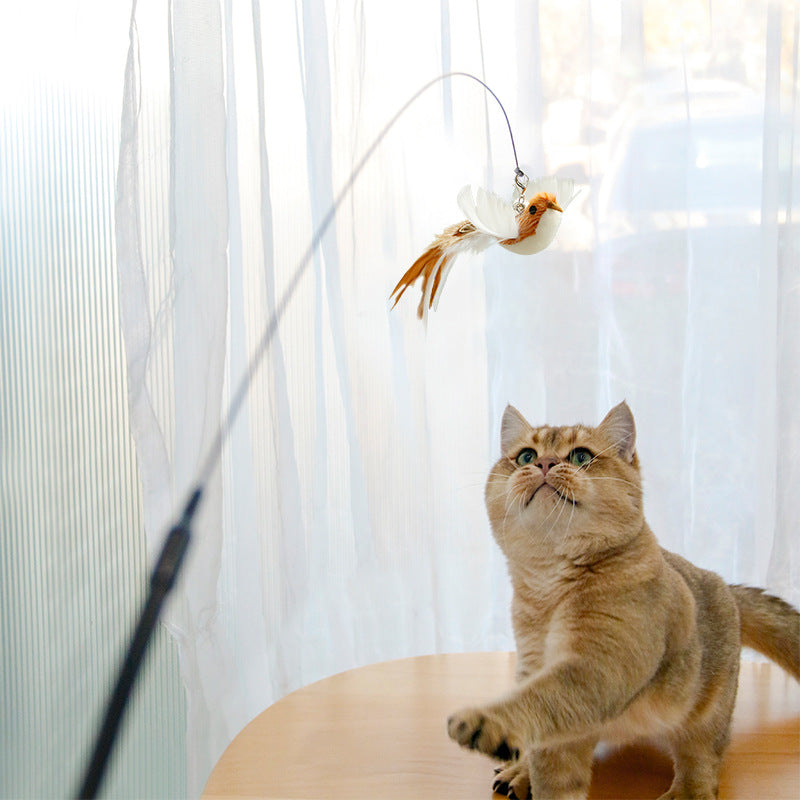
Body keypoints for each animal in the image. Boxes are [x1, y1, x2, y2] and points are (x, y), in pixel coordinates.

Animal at [446, 404, 796, 796]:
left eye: (580, 456)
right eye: (525, 456)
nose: (545, 463)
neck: (551, 585)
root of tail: (726, 586)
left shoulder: (599, 667)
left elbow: (543, 700)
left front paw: (487, 721)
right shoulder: (534, 664)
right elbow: (550, 752)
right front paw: (529, 770)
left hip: (709, 709)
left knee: (702, 755)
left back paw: (688, 791)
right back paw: (518, 772)